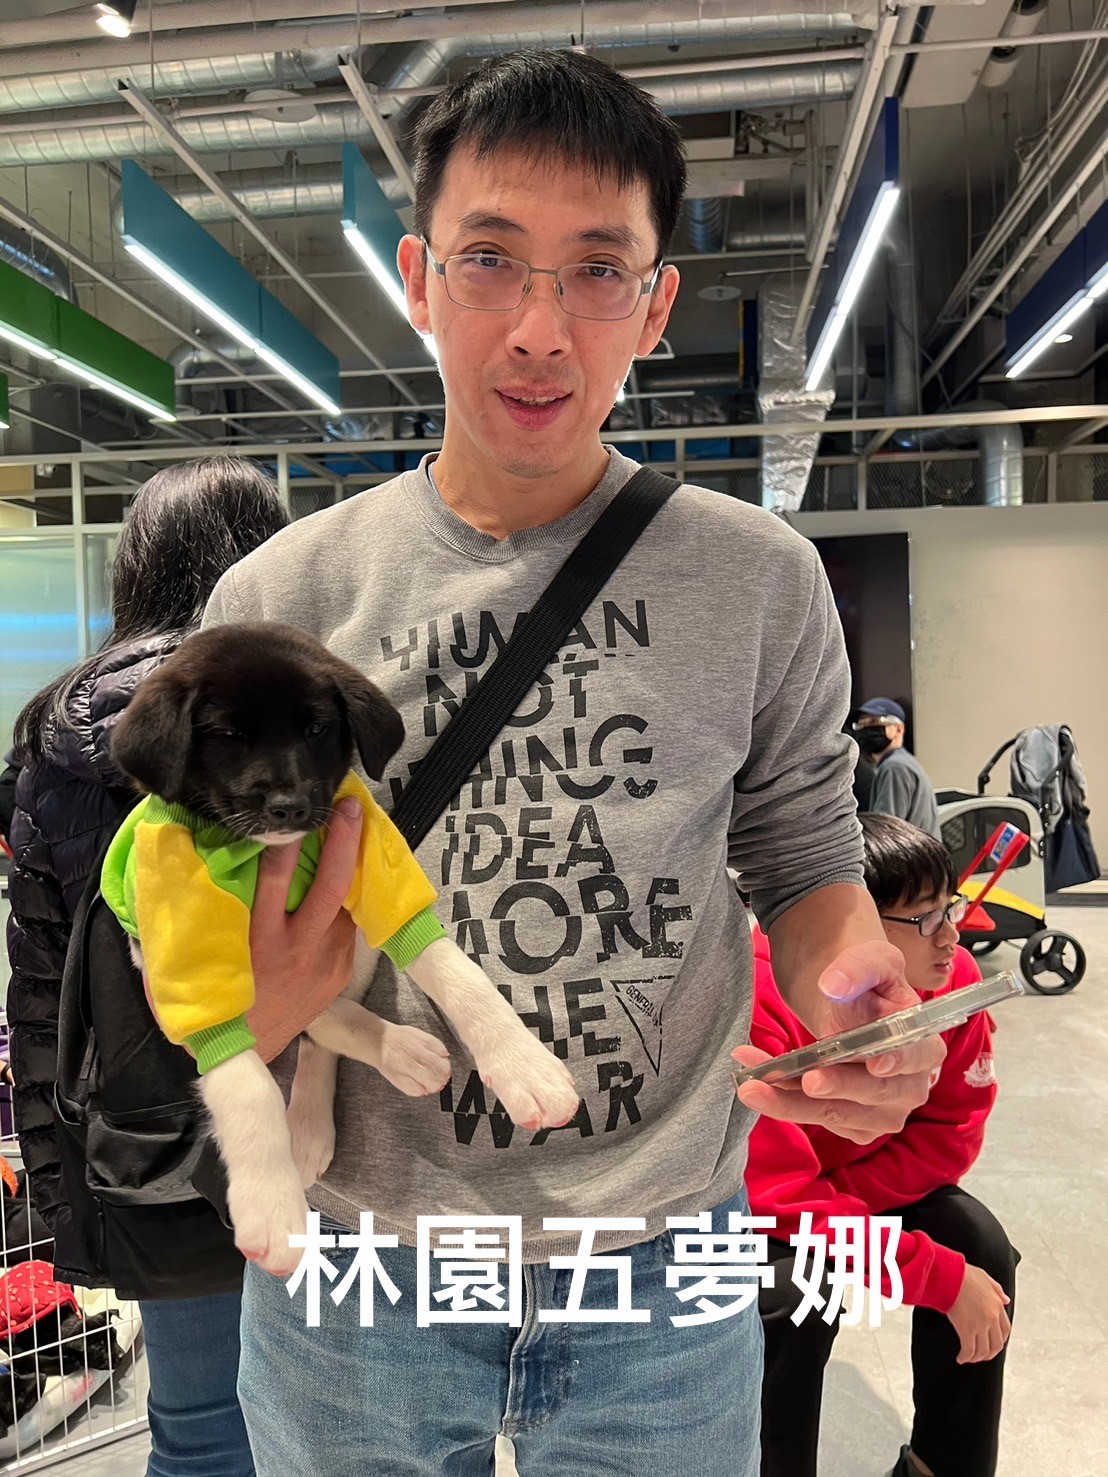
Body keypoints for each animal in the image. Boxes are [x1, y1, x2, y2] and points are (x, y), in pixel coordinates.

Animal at [108, 622, 581, 1275]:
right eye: (227, 735)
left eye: (316, 729)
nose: (288, 807)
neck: (264, 854)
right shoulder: (185, 961)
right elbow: (245, 1080)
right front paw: (271, 1207)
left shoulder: (379, 873)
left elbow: (454, 972)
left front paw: (524, 1067)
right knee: (313, 1017)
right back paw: (384, 1065)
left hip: (353, 946)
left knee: (322, 1021)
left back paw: (367, 1078)